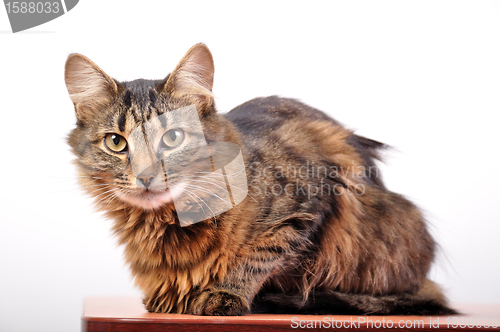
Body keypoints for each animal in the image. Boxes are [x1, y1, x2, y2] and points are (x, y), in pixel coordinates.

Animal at [64, 44, 456, 316]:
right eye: (116, 142)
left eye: (172, 138)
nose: (145, 176)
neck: (168, 223)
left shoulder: (311, 199)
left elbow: (260, 254)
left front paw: (225, 294)